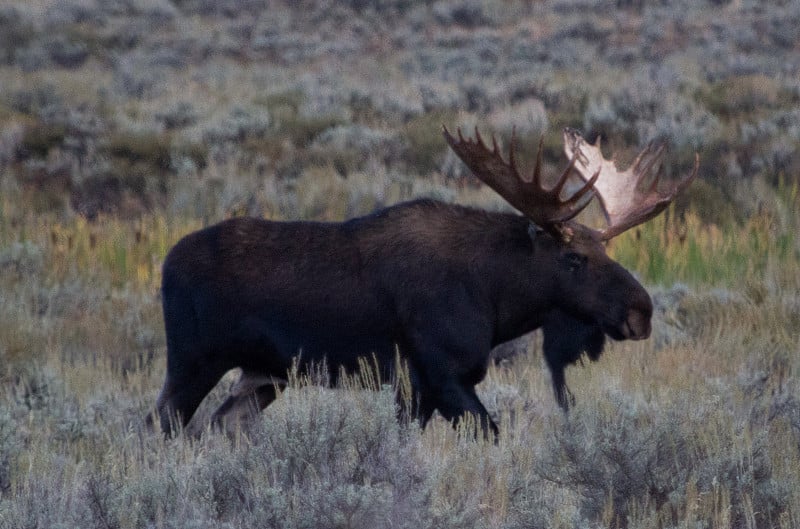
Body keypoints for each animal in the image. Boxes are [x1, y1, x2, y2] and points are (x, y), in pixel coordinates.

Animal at [152, 126, 700, 436]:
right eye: (572, 257)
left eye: (605, 249)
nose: (641, 311)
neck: (496, 301)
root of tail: (165, 264)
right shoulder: (439, 373)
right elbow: (488, 433)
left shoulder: (419, 388)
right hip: (192, 360)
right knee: (161, 423)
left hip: (263, 374)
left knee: (225, 423)